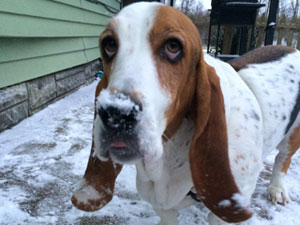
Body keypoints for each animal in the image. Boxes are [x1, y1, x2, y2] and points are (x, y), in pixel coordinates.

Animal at [71, 2, 300, 225]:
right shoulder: (162, 205)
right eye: (109, 44)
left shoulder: (222, 215)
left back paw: (277, 189)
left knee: (282, 159)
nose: (116, 114)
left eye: (173, 47)